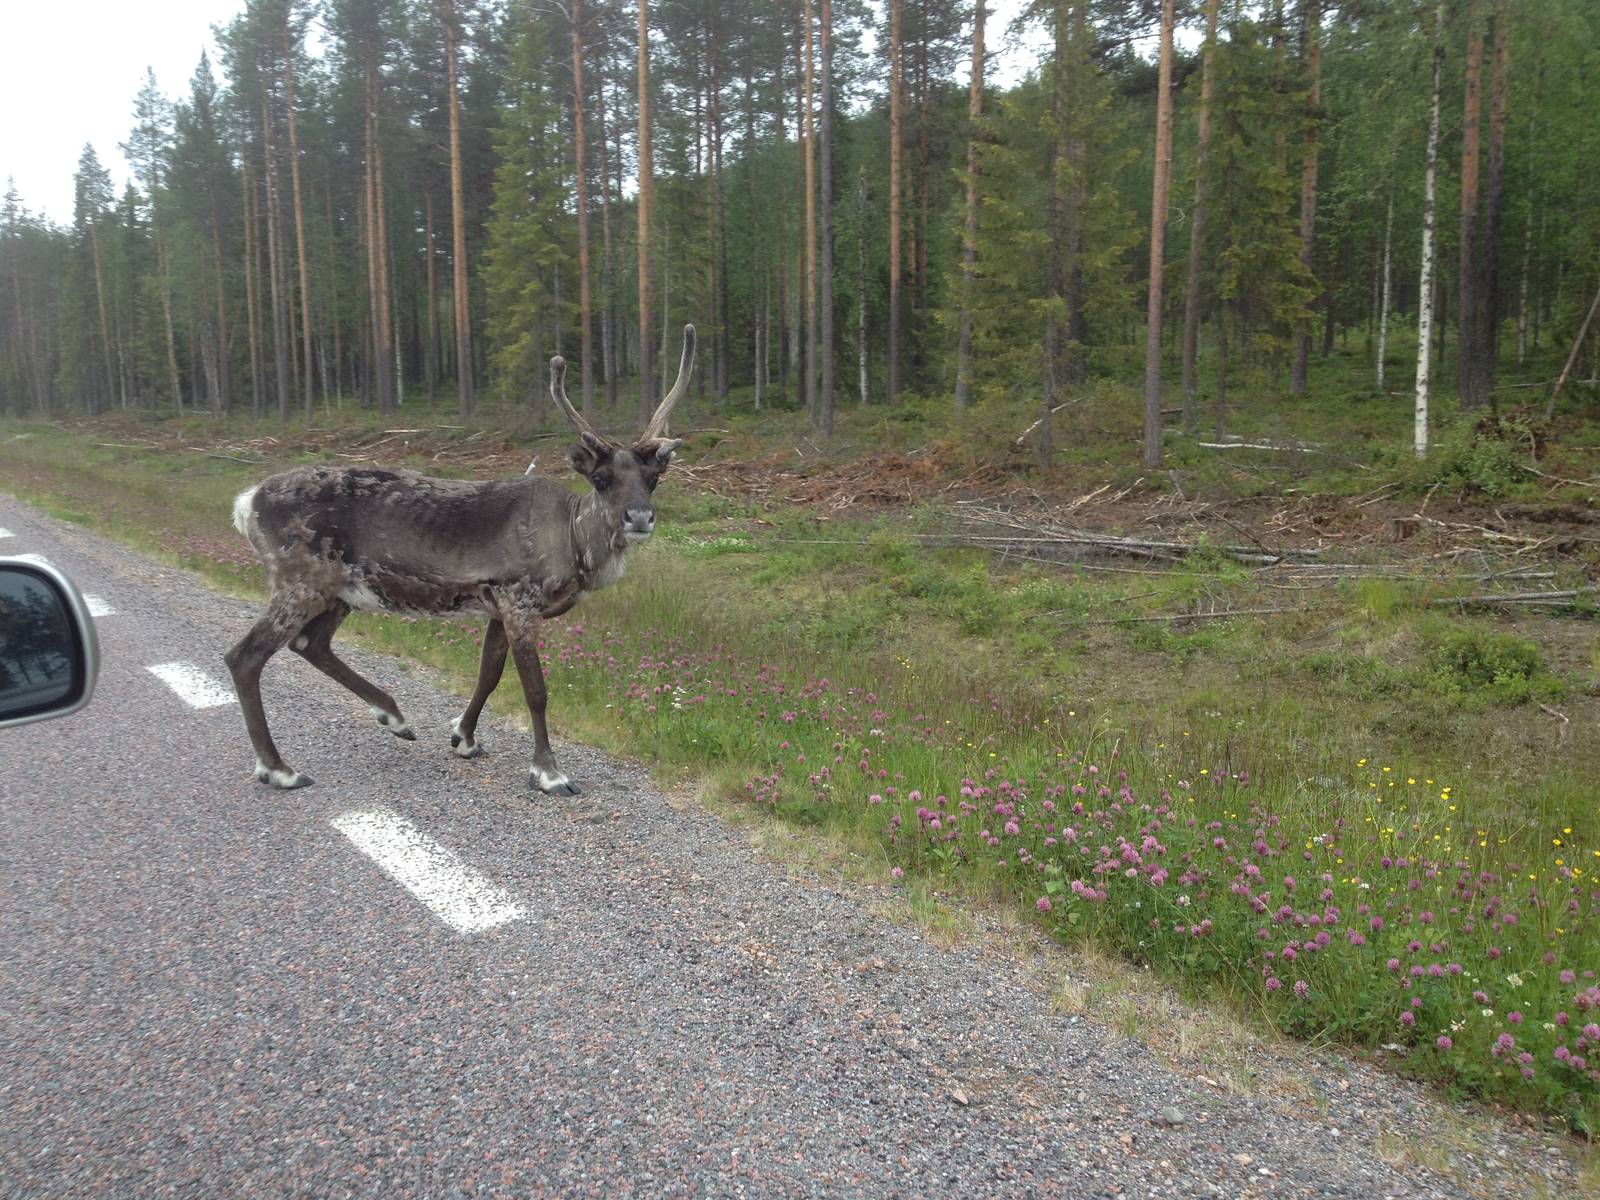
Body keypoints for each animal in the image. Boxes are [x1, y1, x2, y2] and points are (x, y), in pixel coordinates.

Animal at [224, 325, 695, 796]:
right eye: (600, 479)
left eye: (653, 479)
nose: (639, 517)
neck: (574, 543)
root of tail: (246, 502)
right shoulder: (519, 602)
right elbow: (535, 691)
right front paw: (549, 772)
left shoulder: (498, 608)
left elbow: (488, 674)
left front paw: (464, 737)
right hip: (299, 582)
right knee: (245, 656)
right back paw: (278, 768)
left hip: (339, 589)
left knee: (310, 643)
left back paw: (394, 716)